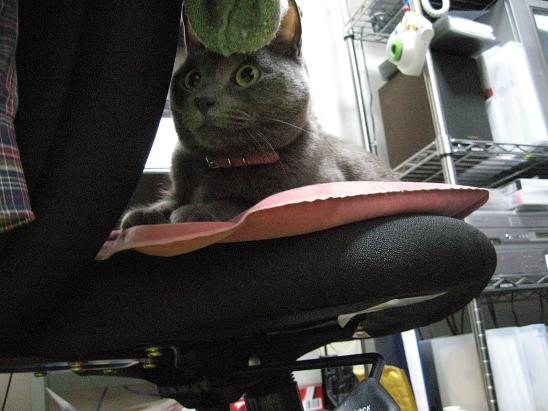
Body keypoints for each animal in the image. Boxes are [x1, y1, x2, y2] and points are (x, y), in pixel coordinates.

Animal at [121, 0, 398, 229]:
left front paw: (195, 210)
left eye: (247, 74)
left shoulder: (319, 185)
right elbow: (172, 199)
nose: (203, 100)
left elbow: (244, 202)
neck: (225, 162)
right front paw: (143, 214)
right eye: (193, 79)